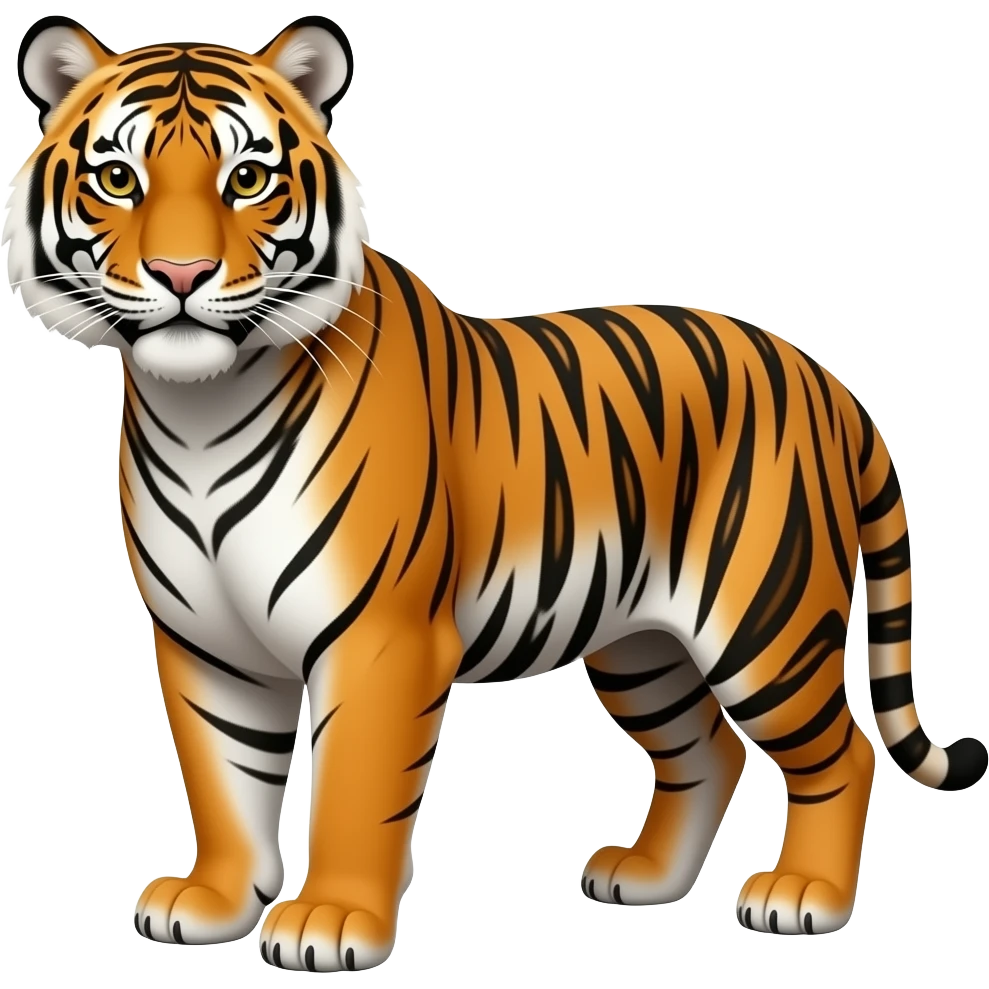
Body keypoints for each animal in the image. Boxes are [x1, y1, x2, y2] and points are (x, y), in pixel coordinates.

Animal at [4, 11, 984, 971]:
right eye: (119, 179)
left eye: (247, 178)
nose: (180, 276)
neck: (200, 409)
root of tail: (825, 379)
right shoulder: (206, 643)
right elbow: (222, 777)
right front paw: (212, 901)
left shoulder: (380, 636)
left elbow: (355, 786)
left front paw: (331, 919)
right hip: (640, 644)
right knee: (703, 746)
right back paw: (645, 876)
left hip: (763, 622)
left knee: (842, 752)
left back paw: (802, 894)